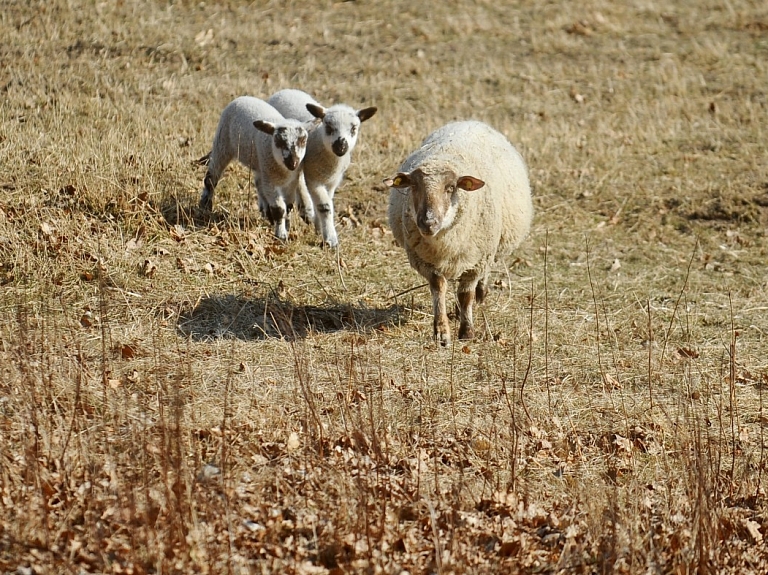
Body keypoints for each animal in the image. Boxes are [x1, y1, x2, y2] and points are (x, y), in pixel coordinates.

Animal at [268, 88, 378, 248]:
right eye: (329, 127)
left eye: (353, 128)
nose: (341, 146)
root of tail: (285, 90)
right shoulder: (314, 179)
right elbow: (325, 206)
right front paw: (330, 239)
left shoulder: (332, 182)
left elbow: (327, 202)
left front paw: (319, 227)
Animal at [384, 120, 536, 346]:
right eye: (414, 186)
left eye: (451, 187)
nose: (428, 222)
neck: (443, 244)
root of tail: (471, 121)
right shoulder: (425, 261)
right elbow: (439, 288)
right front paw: (441, 333)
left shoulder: (477, 260)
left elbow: (466, 295)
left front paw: (467, 332)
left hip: (487, 249)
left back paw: (480, 294)